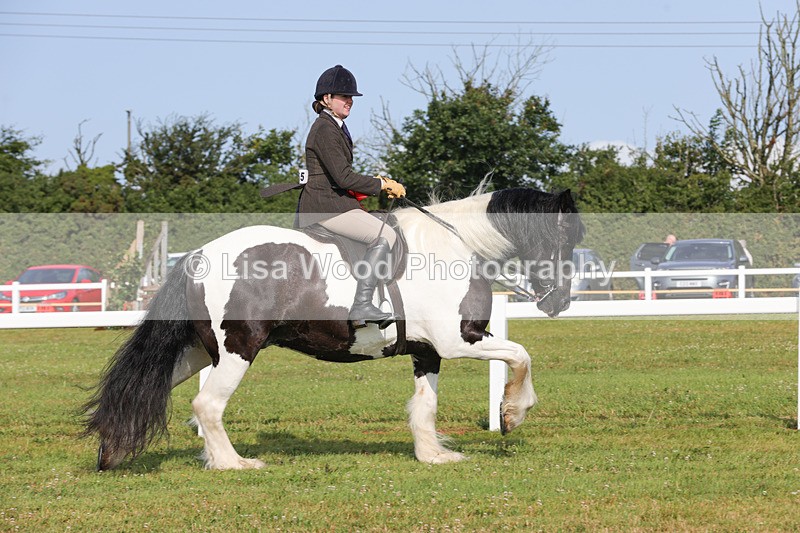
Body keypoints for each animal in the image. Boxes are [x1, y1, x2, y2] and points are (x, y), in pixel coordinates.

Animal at [84, 187, 584, 470]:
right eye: (565, 237)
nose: (558, 302)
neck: (457, 247)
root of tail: (198, 256)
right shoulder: (458, 341)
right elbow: (521, 355)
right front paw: (512, 413)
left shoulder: (427, 350)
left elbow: (425, 406)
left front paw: (434, 455)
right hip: (237, 348)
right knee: (206, 404)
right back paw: (233, 464)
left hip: (197, 351)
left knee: (145, 388)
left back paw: (114, 450)